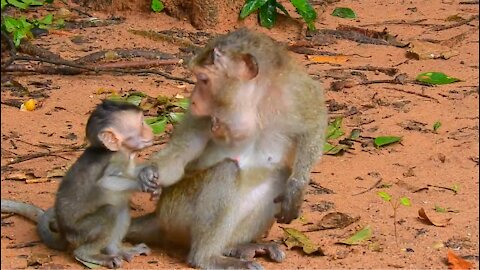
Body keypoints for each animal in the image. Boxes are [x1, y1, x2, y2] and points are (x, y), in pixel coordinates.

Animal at [1, 100, 159, 268]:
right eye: (141, 123)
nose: (150, 130)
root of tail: (64, 232)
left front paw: (148, 172)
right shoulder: (116, 159)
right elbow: (105, 182)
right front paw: (141, 182)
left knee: (120, 207)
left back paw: (115, 249)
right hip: (81, 232)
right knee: (110, 211)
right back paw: (88, 254)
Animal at [129, 28, 328, 268]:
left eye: (203, 80)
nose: (193, 100)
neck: (254, 101)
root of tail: (159, 217)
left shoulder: (296, 91)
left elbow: (315, 123)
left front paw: (297, 187)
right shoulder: (205, 116)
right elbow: (181, 153)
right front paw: (149, 173)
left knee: (279, 173)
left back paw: (236, 247)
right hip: (174, 211)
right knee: (225, 171)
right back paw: (207, 257)